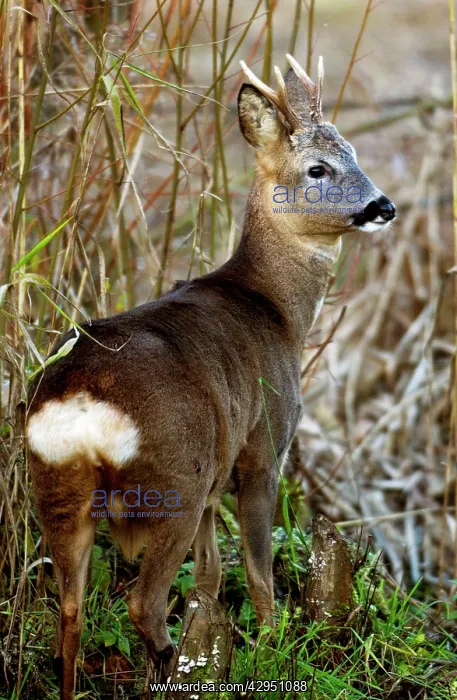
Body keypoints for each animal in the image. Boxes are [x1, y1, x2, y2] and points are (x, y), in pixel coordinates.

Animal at [26, 54, 395, 699]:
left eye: (353, 151)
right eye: (318, 167)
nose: (384, 207)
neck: (275, 309)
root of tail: (81, 404)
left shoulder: (217, 481)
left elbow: (208, 579)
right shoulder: (262, 447)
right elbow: (257, 573)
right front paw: (271, 649)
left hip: (60, 486)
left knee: (68, 613)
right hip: (176, 476)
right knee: (143, 604)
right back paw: (172, 670)